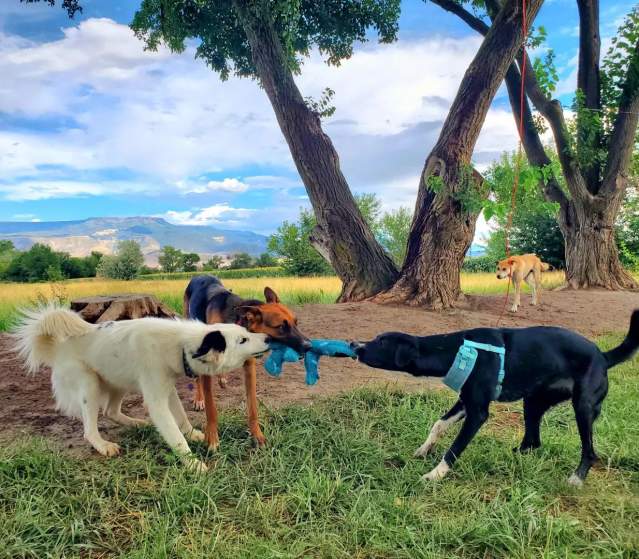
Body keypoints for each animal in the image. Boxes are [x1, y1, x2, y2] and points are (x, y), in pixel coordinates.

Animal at [13, 306, 268, 472]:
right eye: (242, 340)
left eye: (247, 333)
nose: (267, 337)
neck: (180, 344)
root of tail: (57, 348)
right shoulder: (156, 401)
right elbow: (175, 438)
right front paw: (193, 464)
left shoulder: (167, 389)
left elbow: (182, 417)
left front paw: (193, 434)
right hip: (90, 384)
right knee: (90, 428)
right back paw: (103, 445)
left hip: (119, 379)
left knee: (111, 411)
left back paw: (138, 424)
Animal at [184, 276, 312, 450]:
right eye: (281, 327)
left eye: (296, 322)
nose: (309, 346)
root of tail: (200, 276)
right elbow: (211, 409)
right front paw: (212, 438)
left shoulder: (249, 369)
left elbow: (253, 408)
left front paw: (257, 436)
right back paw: (199, 399)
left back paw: (222, 377)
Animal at [352, 312, 639, 488]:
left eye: (380, 341)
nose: (355, 345)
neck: (458, 349)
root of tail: (603, 356)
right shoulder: (465, 402)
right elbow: (438, 424)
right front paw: (424, 449)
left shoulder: (478, 412)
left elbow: (453, 449)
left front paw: (435, 474)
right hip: (533, 403)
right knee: (533, 441)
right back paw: (514, 460)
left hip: (583, 408)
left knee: (589, 451)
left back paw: (576, 480)